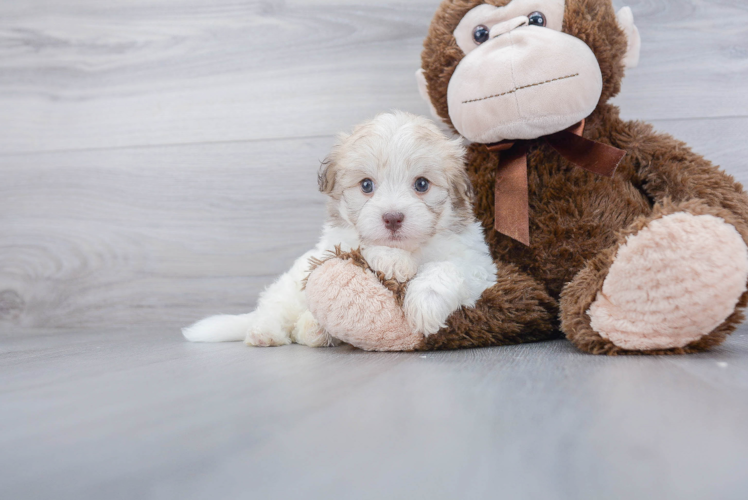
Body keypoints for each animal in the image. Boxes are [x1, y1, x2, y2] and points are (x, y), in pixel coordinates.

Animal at [183, 112, 496, 348]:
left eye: (422, 184)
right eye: (366, 185)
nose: (392, 218)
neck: (411, 248)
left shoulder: (478, 264)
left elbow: (448, 268)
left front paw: (426, 303)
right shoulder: (337, 242)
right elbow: (362, 245)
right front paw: (392, 261)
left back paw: (312, 330)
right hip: (291, 287)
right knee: (276, 309)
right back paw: (266, 333)